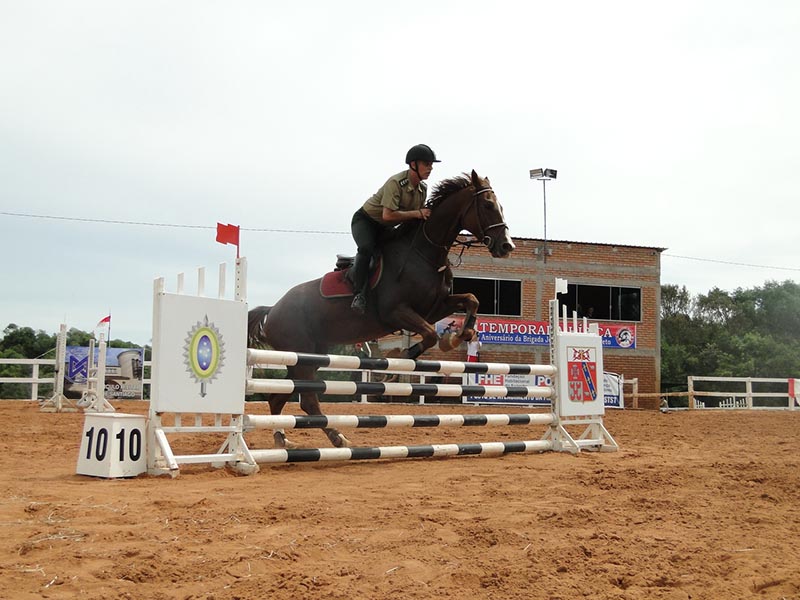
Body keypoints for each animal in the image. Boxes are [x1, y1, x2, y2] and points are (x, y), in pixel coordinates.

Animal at [247, 168, 516, 446]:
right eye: (487, 205)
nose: (506, 246)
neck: (424, 254)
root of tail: (273, 309)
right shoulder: (396, 313)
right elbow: (430, 334)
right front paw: (401, 362)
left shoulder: (434, 307)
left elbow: (471, 299)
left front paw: (456, 337)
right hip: (300, 356)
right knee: (307, 400)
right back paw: (337, 437)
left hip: (308, 357)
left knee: (278, 397)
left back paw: (283, 439)